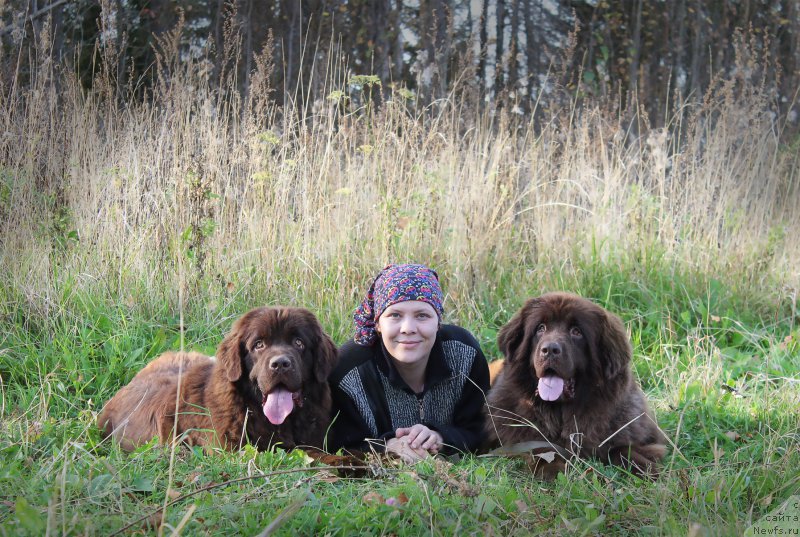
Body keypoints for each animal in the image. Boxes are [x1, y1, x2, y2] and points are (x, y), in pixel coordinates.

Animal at [488, 294, 668, 474]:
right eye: (540, 328)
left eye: (576, 332)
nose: (550, 349)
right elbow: (541, 451)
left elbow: (622, 449)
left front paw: (647, 470)